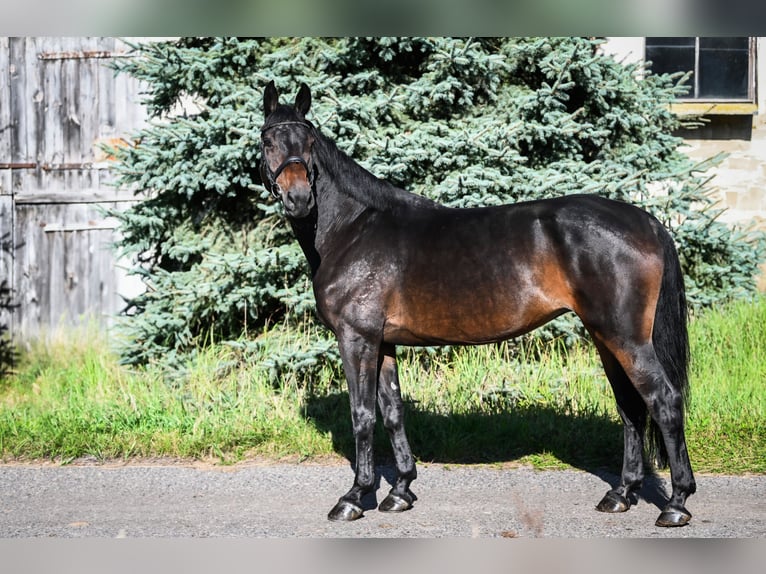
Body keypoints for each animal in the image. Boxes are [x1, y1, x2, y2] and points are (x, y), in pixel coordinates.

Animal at [260, 82, 700, 532]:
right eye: (268, 141)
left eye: (310, 143)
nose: (298, 198)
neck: (353, 228)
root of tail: (648, 223)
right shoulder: (382, 342)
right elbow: (393, 411)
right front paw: (400, 492)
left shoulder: (356, 339)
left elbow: (362, 415)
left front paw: (353, 497)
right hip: (605, 337)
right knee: (630, 407)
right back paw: (621, 493)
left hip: (625, 337)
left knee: (664, 401)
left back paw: (676, 503)